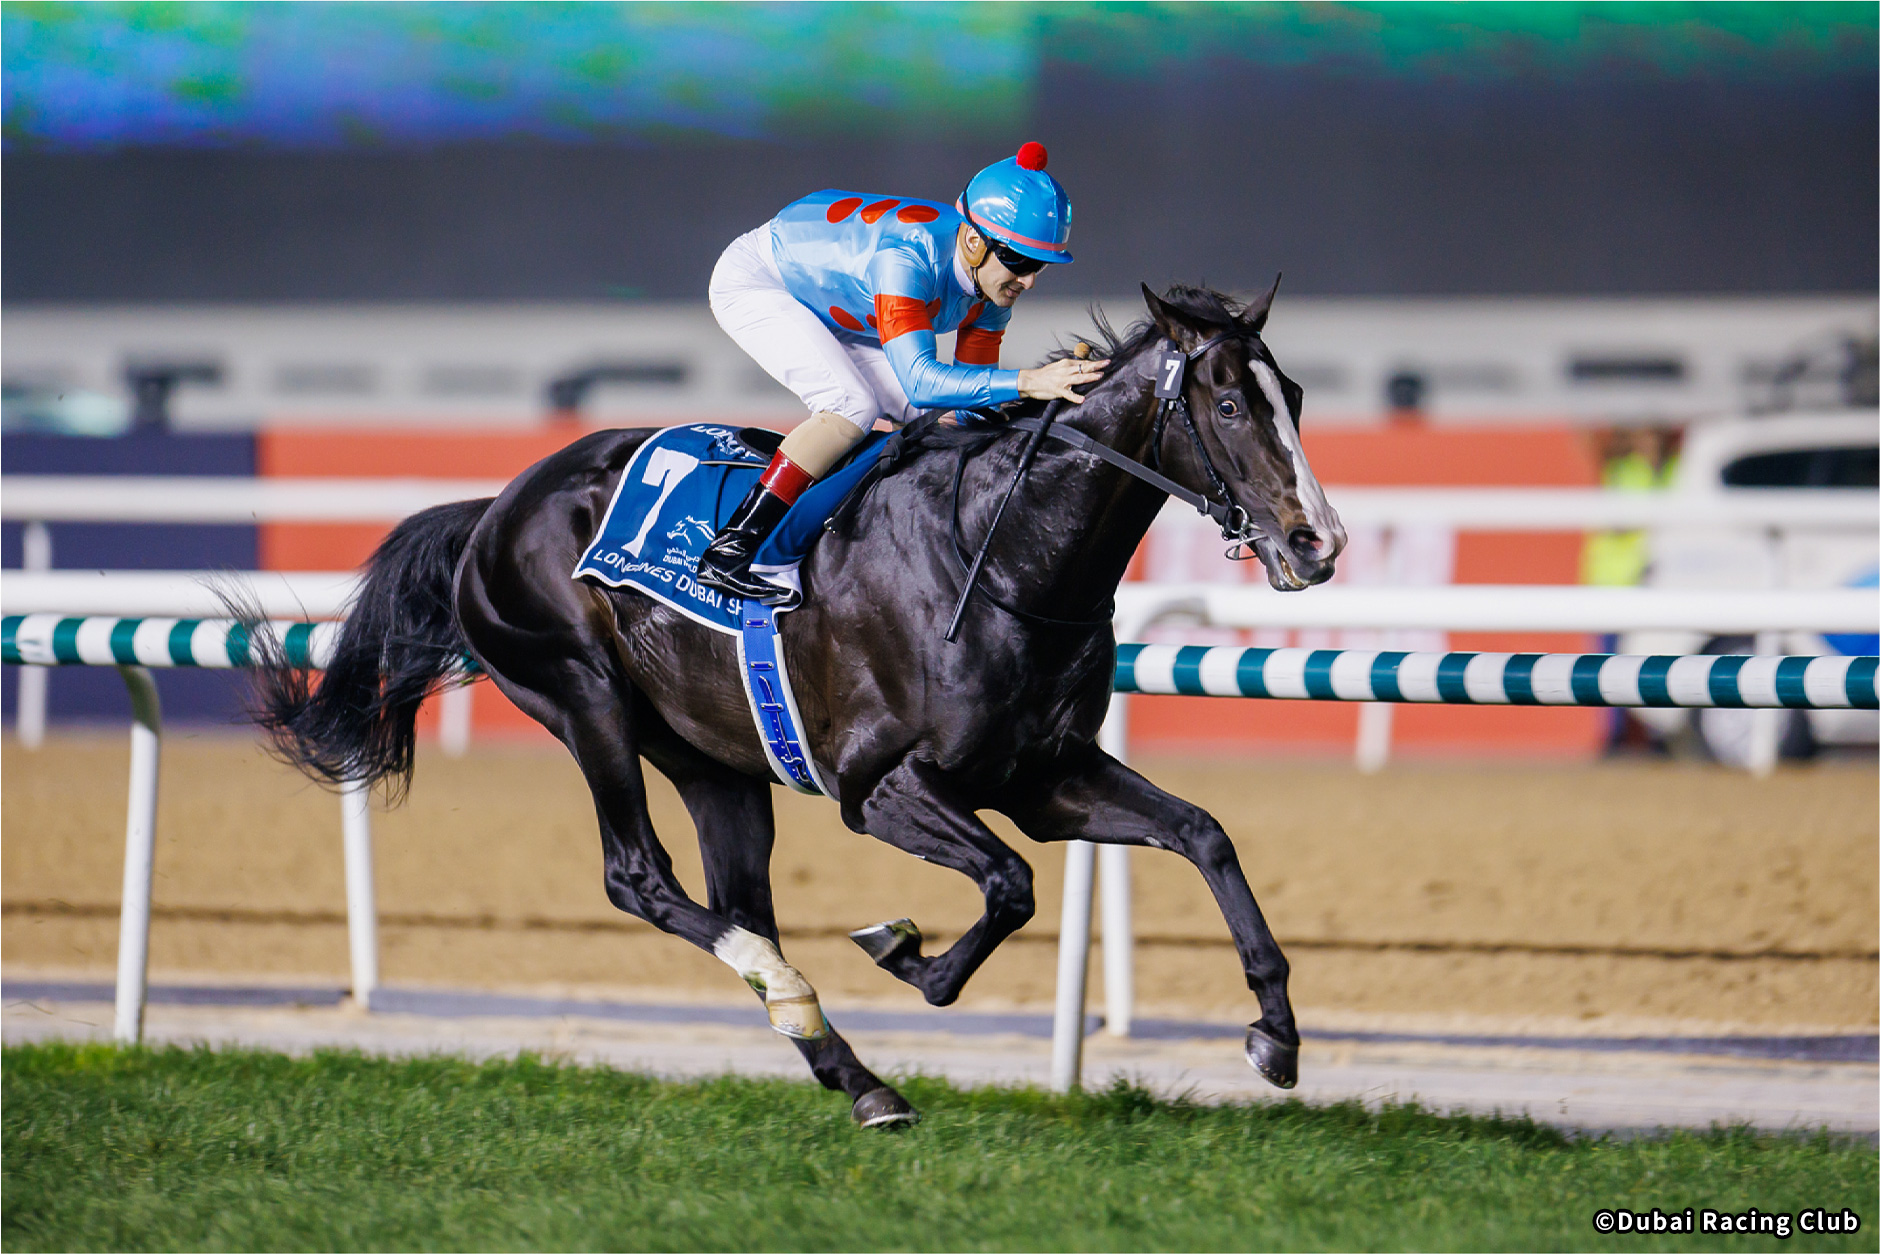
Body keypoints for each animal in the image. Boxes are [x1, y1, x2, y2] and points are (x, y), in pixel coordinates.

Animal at [247, 281, 1346, 1128]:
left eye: (1290, 393)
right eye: (1228, 405)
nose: (1318, 543)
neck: (1003, 556)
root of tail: (496, 507)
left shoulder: (1044, 774)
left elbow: (1199, 834)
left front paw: (1275, 1032)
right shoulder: (880, 786)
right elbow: (1010, 884)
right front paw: (908, 956)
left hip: (714, 759)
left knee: (741, 903)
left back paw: (854, 1075)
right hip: (580, 694)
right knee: (638, 877)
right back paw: (791, 995)